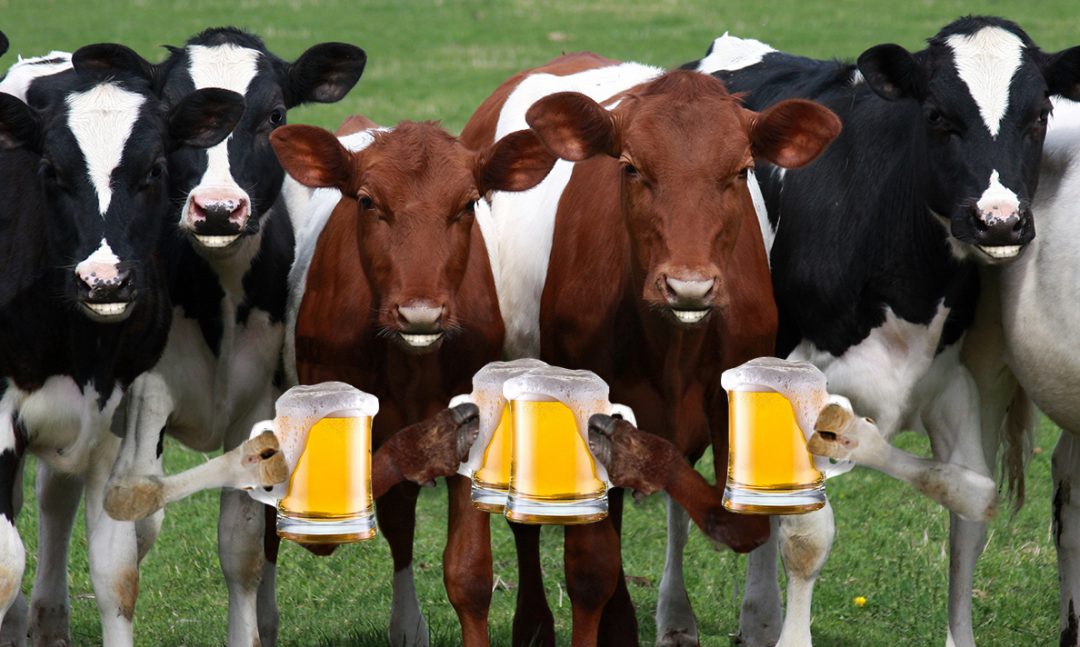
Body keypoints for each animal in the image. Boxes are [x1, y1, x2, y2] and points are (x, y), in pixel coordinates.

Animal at [0, 43, 244, 646]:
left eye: (154, 169)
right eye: (50, 170)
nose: (105, 281)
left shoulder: (112, 415)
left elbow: (117, 573)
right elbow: (6, 563)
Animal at [458, 53, 841, 646]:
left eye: (741, 171)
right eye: (631, 168)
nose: (689, 286)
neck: (673, 348)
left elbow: (746, 516)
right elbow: (592, 565)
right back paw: (535, 624)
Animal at [686, 15, 1080, 647]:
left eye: (1040, 113)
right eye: (937, 115)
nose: (999, 221)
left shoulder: (955, 386)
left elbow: (968, 512)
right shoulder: (799, 380)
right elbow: (807, 535)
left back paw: (756, 620)